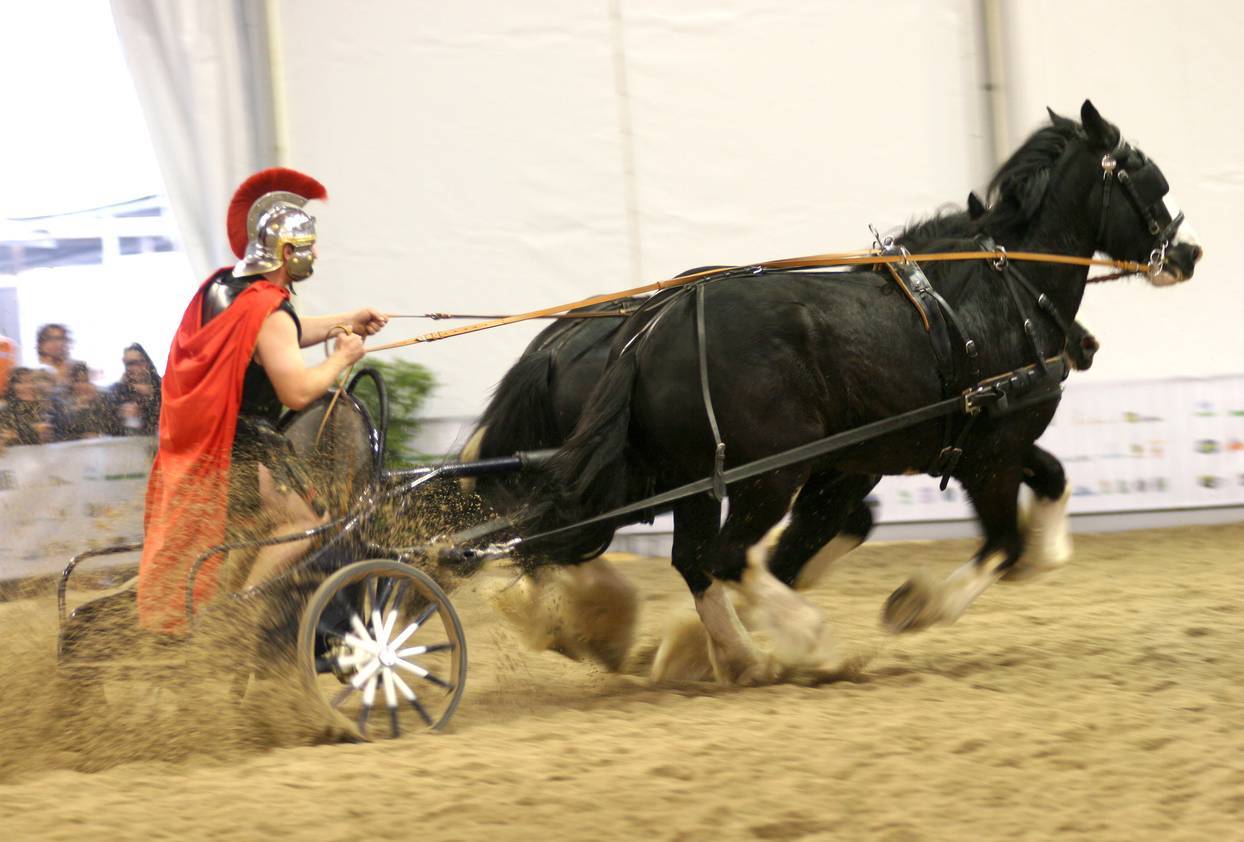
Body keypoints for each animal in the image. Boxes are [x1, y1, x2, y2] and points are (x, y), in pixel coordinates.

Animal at [529, 100, 1199, 681]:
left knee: (694, 563)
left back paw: (736, 656)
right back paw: (808, 643)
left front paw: (1046, 549)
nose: (1187, 254)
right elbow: (1002, 545)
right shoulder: (989, 455)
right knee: (725, 559)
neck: (1005, 296)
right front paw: (917, 605)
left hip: (695, 475)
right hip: (768, 475)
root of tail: (652, 328)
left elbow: (1051, 484)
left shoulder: (981, 443)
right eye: (1152, 185)